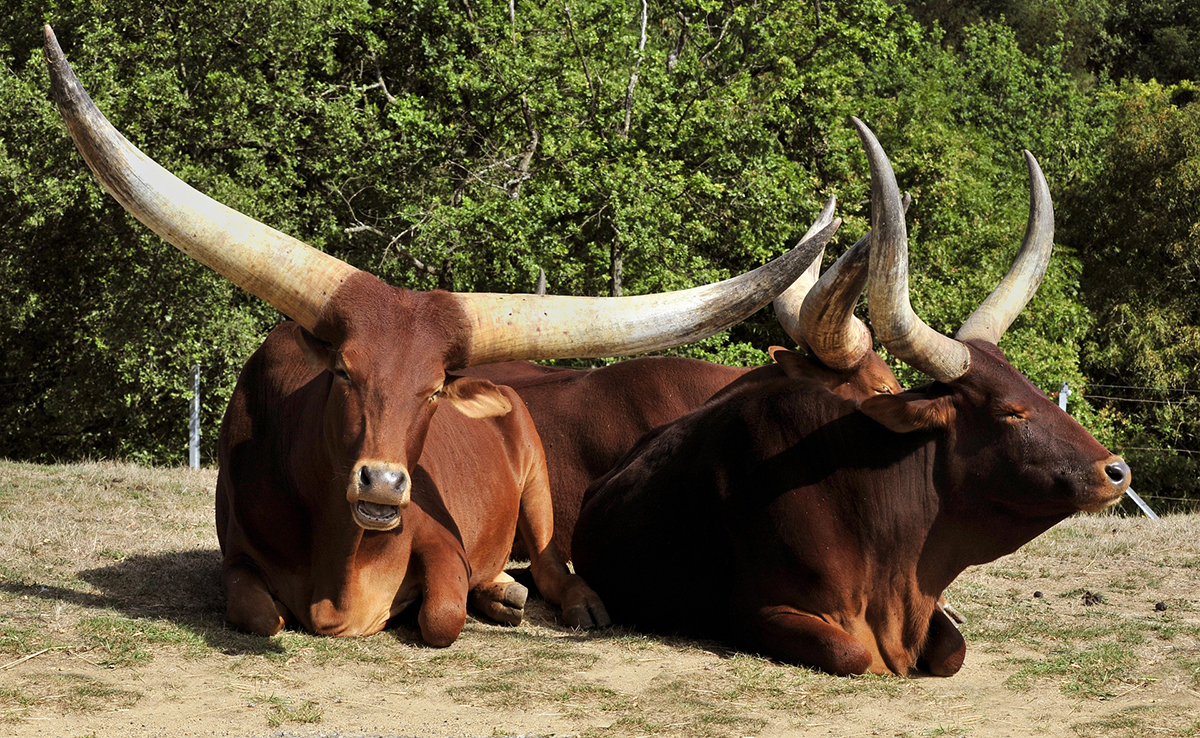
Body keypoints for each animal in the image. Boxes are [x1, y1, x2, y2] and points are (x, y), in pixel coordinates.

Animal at [42, 24, 840, 648]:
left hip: (538, 485)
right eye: (344, 373)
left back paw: (553, 600)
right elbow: (260, 614)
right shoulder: (236, 561)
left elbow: (441, 616)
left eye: (432, 392)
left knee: (551, 564)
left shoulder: (443, 544)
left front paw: (473, 600)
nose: (384, 483)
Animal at [566, 118, 1128, 676]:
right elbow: (854, 653)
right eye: (1010, 411)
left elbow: (953, 650)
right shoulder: (758, 612)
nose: (1116, 471)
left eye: (1033, 390)